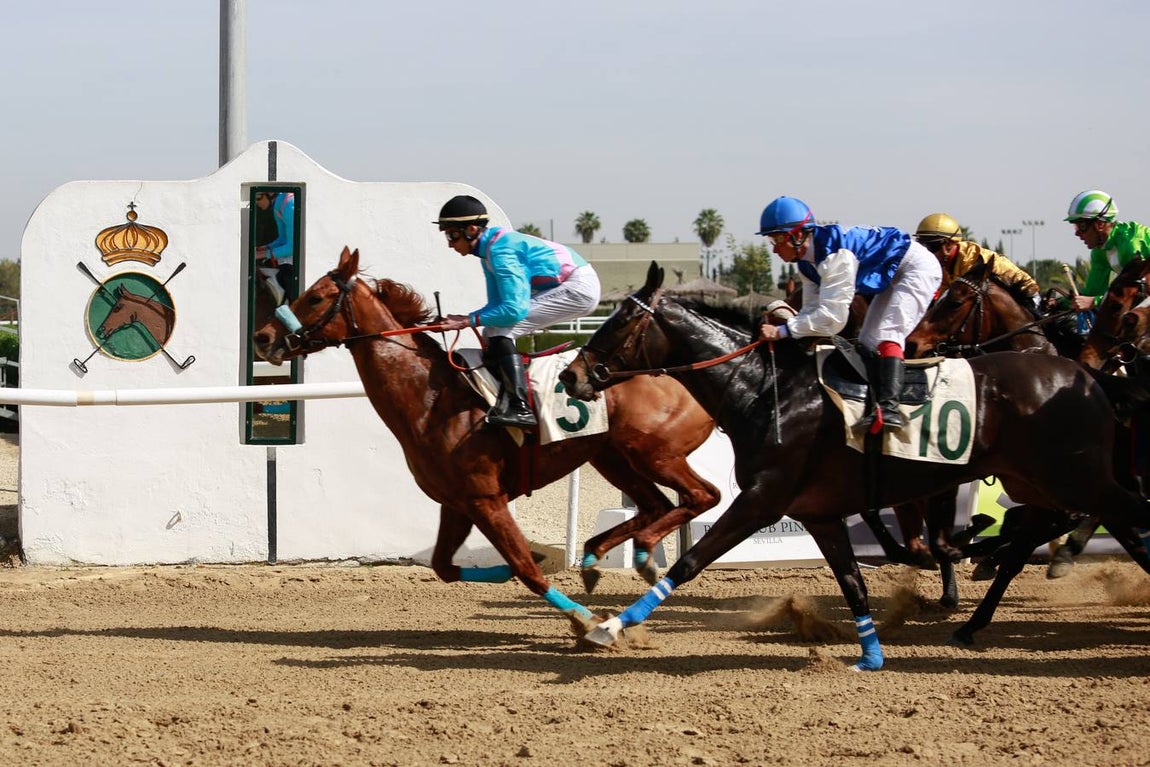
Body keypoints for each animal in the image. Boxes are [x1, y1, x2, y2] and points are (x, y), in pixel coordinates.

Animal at [251, 247, 721, 632]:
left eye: (315, 296)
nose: (263, 337)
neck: (432, 398)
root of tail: (681, 369)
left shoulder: (486, 498)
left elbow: (526, 568)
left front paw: (586, 623)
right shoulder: (457, 502)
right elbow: (444, 566)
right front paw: (506, 574)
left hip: (654, 453)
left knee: (702, 495)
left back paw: (638, 556)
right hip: (613, 458)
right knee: (656, 505)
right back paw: (601, 558)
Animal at [559, 261, 1150, 666]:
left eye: (617, 324)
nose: (570, 375)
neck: (767, 389)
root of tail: (1089, 375)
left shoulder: (762, 499)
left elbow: (689, 562)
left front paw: (609, 628)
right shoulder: (819, 513)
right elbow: (852, 582)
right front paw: (870, 654)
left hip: (1076, 477)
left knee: (1120, 514)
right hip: (1043, 480)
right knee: (1059, 524)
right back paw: (981, 605)